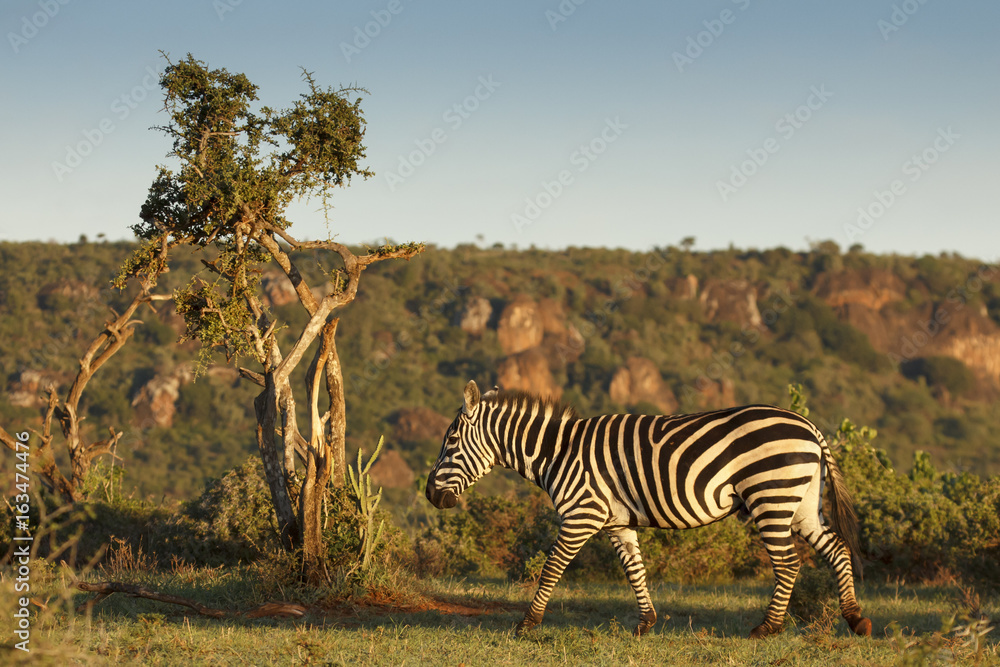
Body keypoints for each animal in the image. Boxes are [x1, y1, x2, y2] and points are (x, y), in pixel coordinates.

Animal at [425, 380, 872, 639]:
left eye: (451, 443)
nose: (430, 495)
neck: (558, 451)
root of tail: (808, 425)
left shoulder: (581, 514)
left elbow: (551, 568)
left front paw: (526, 624)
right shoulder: (616, 521)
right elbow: (634, 570)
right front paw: (646, 623)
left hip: (771, 497)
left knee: (788, 564)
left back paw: (768, 628)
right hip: (801, 502)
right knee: (836, 550)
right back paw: (855, 619)